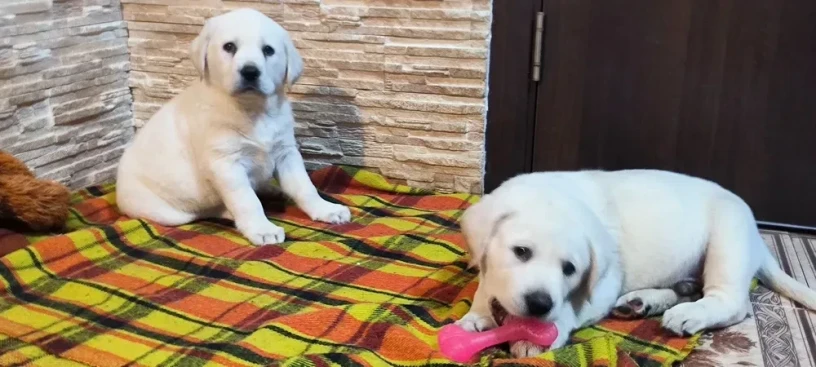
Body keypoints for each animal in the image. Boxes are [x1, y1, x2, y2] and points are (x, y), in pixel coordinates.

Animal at [115, 7, 350, 244]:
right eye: (229, 47)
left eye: (268, 50)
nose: (250, 71)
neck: (252, 110)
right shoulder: (225, 164)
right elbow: (247, 201)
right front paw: (262, 229)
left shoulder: (286, 152)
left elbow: (305, 186)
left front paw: (326, 209)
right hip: (168, 212)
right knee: (207, 211)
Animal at [460, 171, 816, 358]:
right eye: (521, 251)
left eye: (569, 269)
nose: (539, 304)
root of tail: (758, 238)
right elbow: (485, 286)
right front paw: (477, 315)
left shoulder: (605, 282)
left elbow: (571, 307)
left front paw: (533, 336)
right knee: (689, 288)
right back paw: (643, 302)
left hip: (728, 237)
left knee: (732, 302)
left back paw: (687, 313)